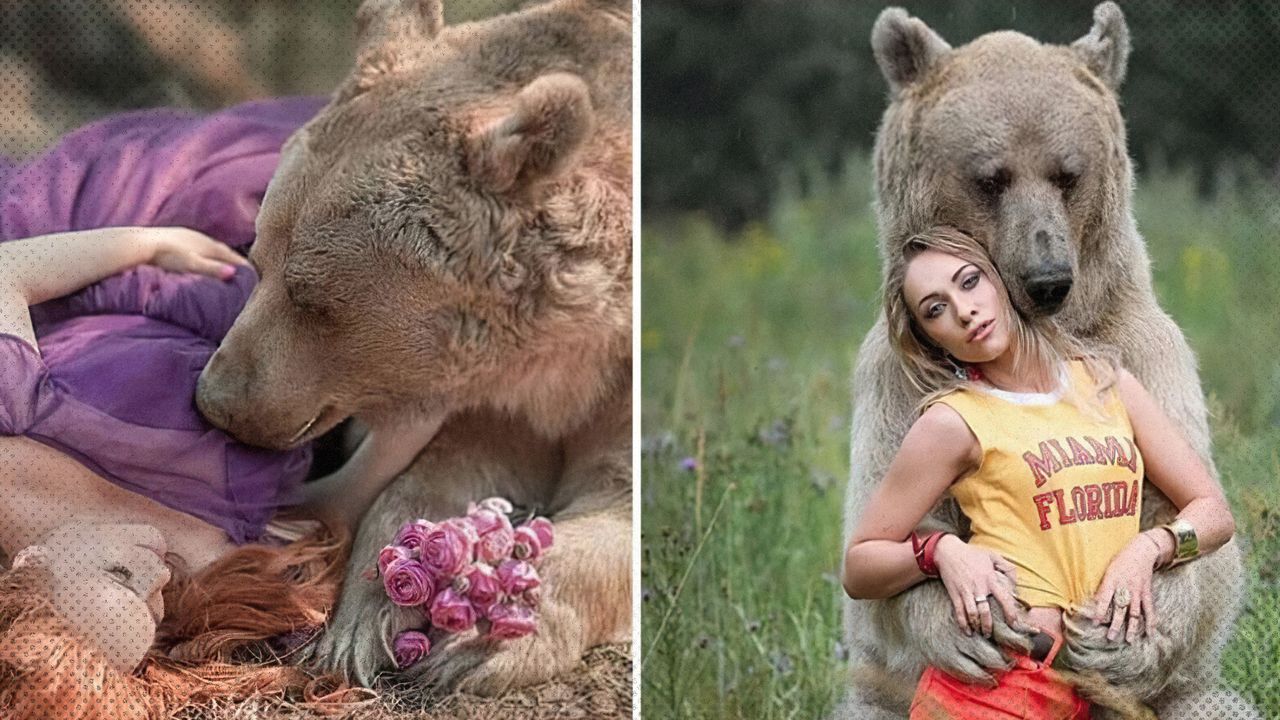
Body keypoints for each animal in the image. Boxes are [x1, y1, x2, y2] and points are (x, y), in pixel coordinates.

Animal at [194, 0, 632, 693]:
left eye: (313, 298)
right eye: (257, 258)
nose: (217, 401)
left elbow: (618, 499)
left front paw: (483, 638)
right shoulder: (502, 394)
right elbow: (450, 467)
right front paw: (368, 616)